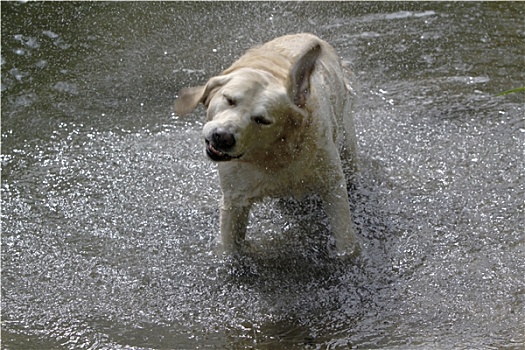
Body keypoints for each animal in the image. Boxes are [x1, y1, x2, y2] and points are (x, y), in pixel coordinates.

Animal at [173, 32, 360, 258]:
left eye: (262, 120)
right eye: (229, 99)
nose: (222, 137)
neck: (272, 156)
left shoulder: (332, 185)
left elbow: (345, 239)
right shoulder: (234, 200)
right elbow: (230, 246)